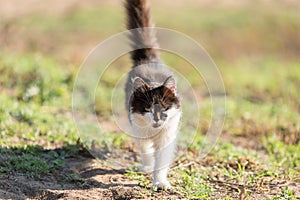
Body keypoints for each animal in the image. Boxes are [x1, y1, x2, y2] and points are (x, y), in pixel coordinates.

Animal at [123, 0, 180, 189]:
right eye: (148, 108)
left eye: (164, 108)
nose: (156, 118)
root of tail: (148, 59)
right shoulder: (137, 127)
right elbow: (145, 150)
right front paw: (148, 167)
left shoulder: (168, 135)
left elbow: (161, 161)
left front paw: (160, 182)